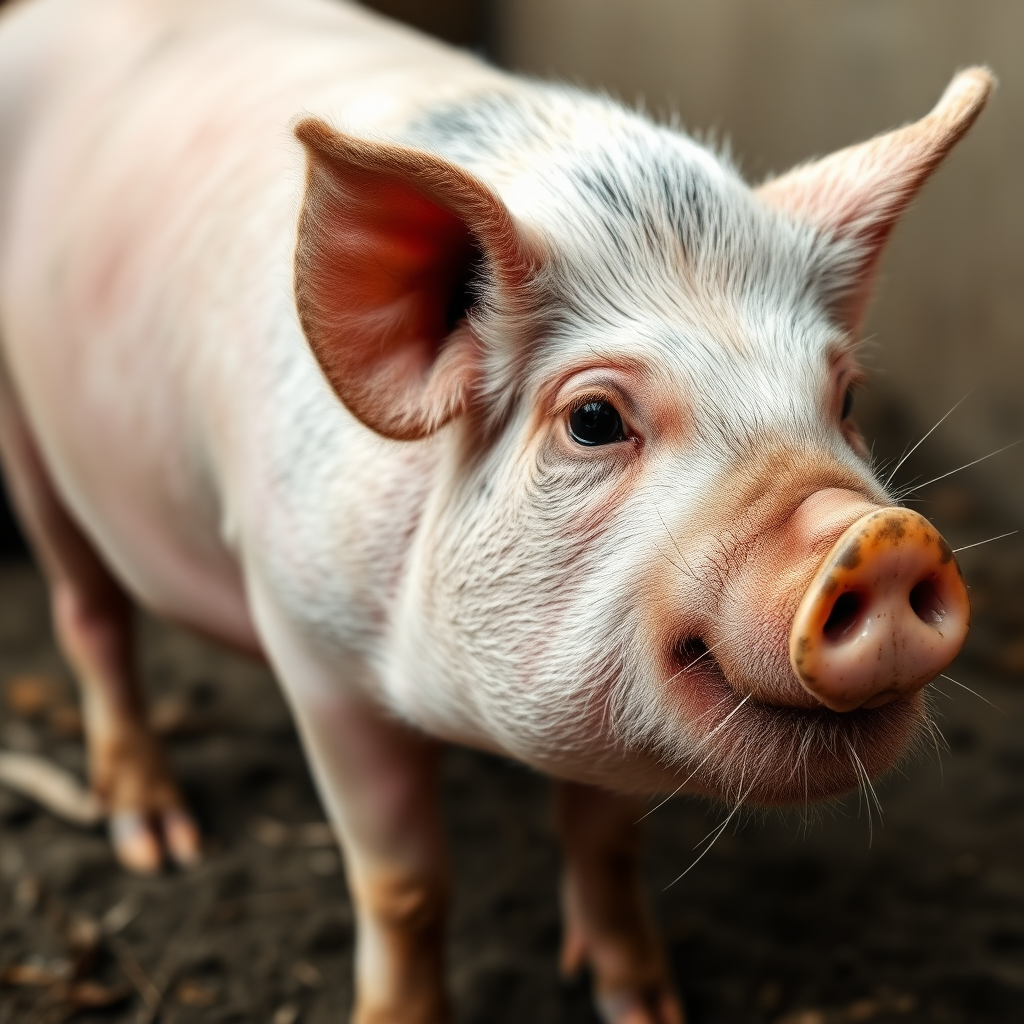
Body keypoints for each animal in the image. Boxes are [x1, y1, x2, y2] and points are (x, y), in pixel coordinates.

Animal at [0, 2, 991, 1024]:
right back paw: (157, 841)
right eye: (593, 420)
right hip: (23, 431)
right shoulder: (307, 638)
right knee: (87, 611)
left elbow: (605, 840)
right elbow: (404, 884)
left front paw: (642, 1007)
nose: (883, 535)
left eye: (846, 398)